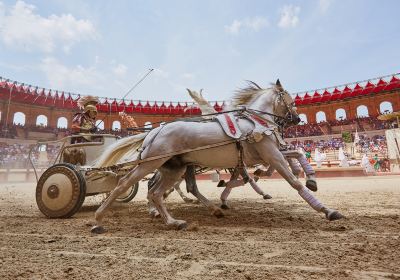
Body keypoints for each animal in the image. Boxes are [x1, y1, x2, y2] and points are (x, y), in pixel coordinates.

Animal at [91, 80, 344, 233]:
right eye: (289, 98)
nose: (297, 119)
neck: (255, 123)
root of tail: (155, 131)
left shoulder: (263, 156)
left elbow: (295, 154)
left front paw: (311, 178)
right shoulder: (271, 155)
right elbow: (293, 181)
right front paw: (327, 210)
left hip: (174, 168)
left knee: (157, 191)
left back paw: (174, 220)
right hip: (151, 164)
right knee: (125, 184)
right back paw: (98, 219)